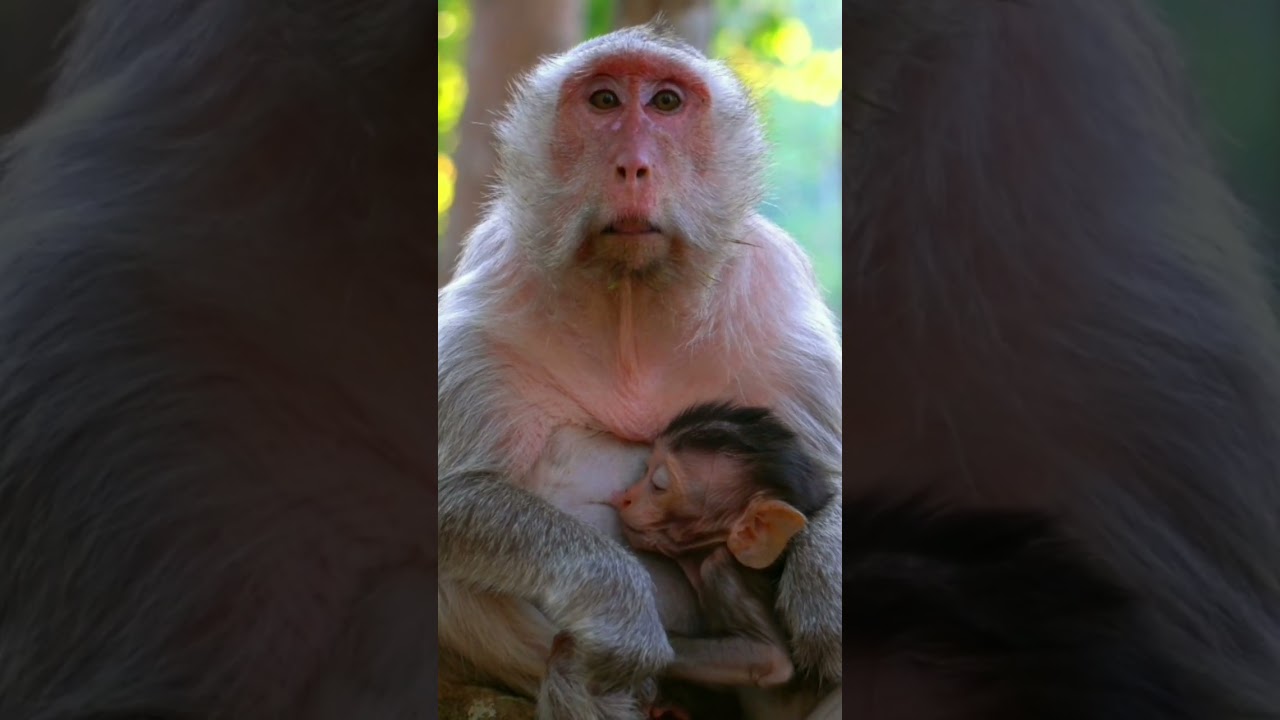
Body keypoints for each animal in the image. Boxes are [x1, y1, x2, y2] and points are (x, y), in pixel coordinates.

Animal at [437, 21, 843, 720]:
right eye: (603, 102)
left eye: (666, 103)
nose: (632, 165)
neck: (630, 304)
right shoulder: (485, 311)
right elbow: (451, 495)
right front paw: (618, 603)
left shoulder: (781, 312)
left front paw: (821, 586)